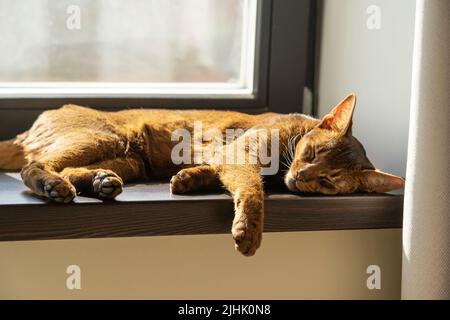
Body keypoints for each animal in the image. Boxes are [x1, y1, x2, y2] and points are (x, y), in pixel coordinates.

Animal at [0, 92, 404, 255]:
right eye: (313, 153)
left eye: (328, 181)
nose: (302, 177)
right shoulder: (242, 153)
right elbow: (252, 188)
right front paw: (248, 230)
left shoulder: (227, 155)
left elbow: (220, 173)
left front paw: (189, 179)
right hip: (103, 137)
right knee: (34, 166)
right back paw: (53, 185)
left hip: (127, 158)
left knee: (70, 167)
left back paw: (101, 183)